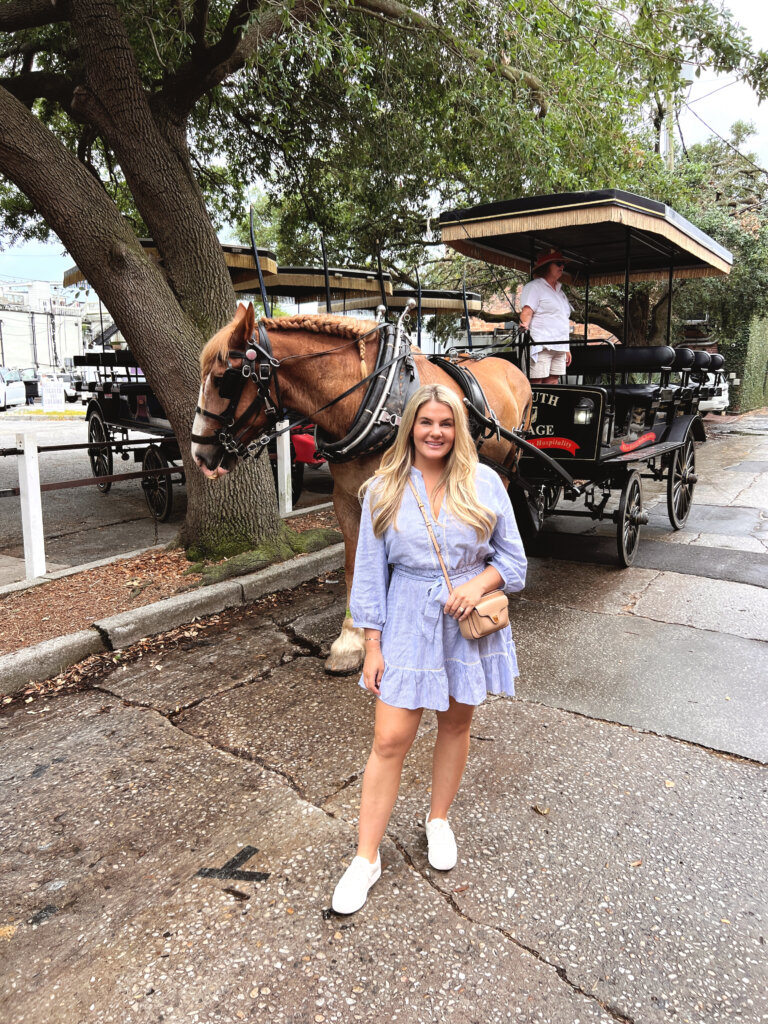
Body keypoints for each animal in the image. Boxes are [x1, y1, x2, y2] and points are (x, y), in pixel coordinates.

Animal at [189, 301, 532, 671]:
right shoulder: (347, 498)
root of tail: (512, 368)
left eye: (223, 380)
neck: (375, 400)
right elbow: (356, 566)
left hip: (506, 467)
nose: (199, 454)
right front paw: (352, 639)